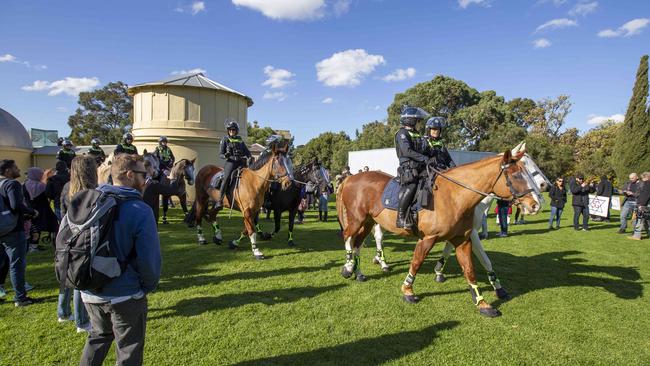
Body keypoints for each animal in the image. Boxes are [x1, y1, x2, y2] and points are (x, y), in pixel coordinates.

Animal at [336, 144, 540, 318]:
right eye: (517, 176)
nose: (535, 205)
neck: (455, 196)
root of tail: (350, 178)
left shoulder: (462, 240)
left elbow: (470, 269)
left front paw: (482, 303)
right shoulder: (427, 238)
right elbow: (416, 262)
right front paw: (408, 291)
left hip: (368, 221)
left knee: (358, 243)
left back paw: (358, 272)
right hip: (356, 220)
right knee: (348, 237)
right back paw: (348, 267)